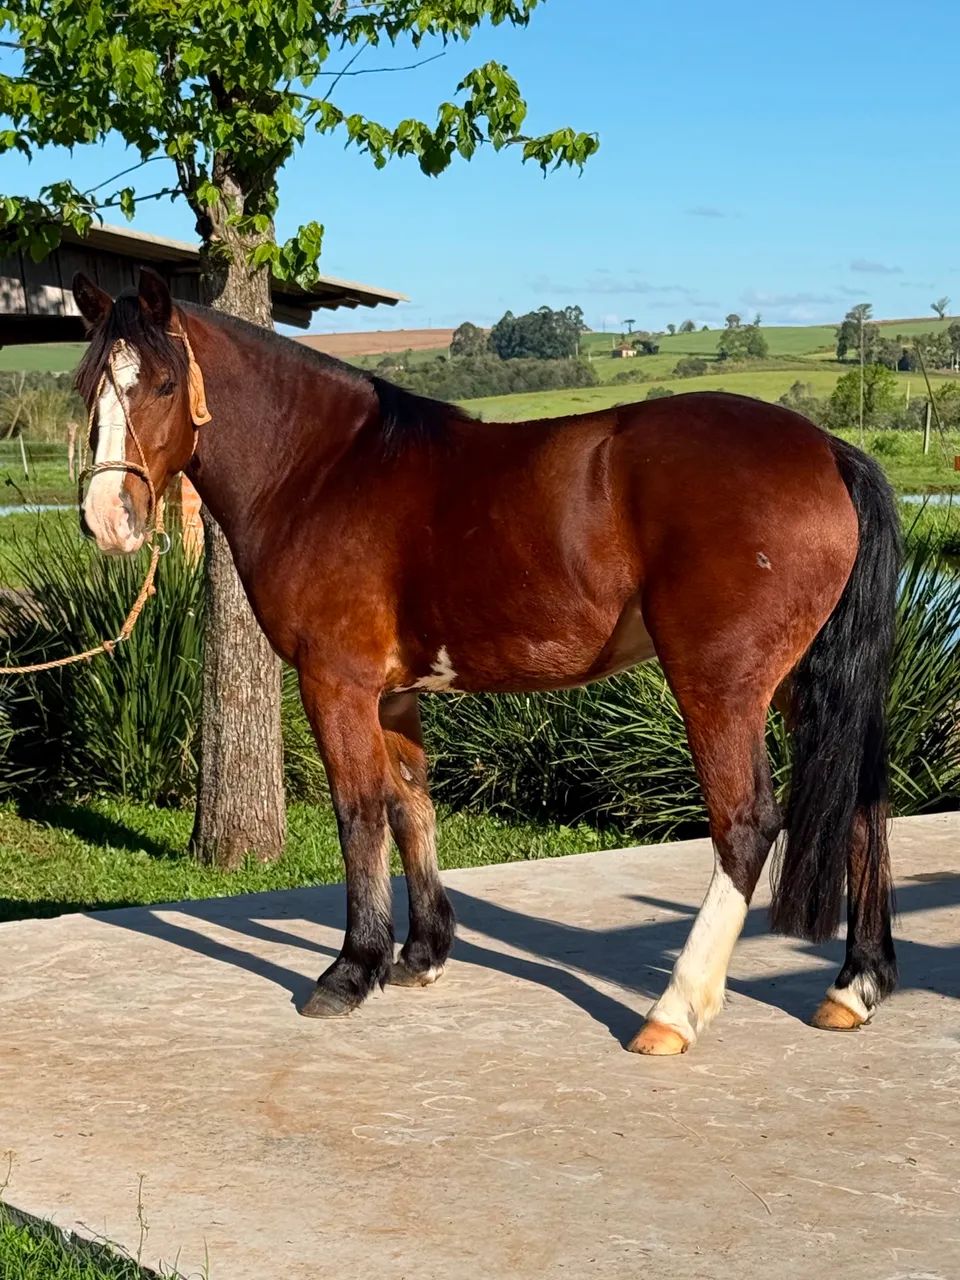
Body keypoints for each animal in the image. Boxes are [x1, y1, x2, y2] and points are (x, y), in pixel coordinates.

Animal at [71, 268, 900, 1056]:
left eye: (164, 385)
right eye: (88, 389)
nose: (108, 520)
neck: (325, 471)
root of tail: (829, 450)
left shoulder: (335, 682)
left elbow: (358, 813)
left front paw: (352, 969)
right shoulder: (393, 693)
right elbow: (410, 806)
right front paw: (420, 954)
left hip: (719, 686)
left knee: (746, 825)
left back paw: (674, 1012)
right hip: (803, 684)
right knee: (863, 804)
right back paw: (853, 989)